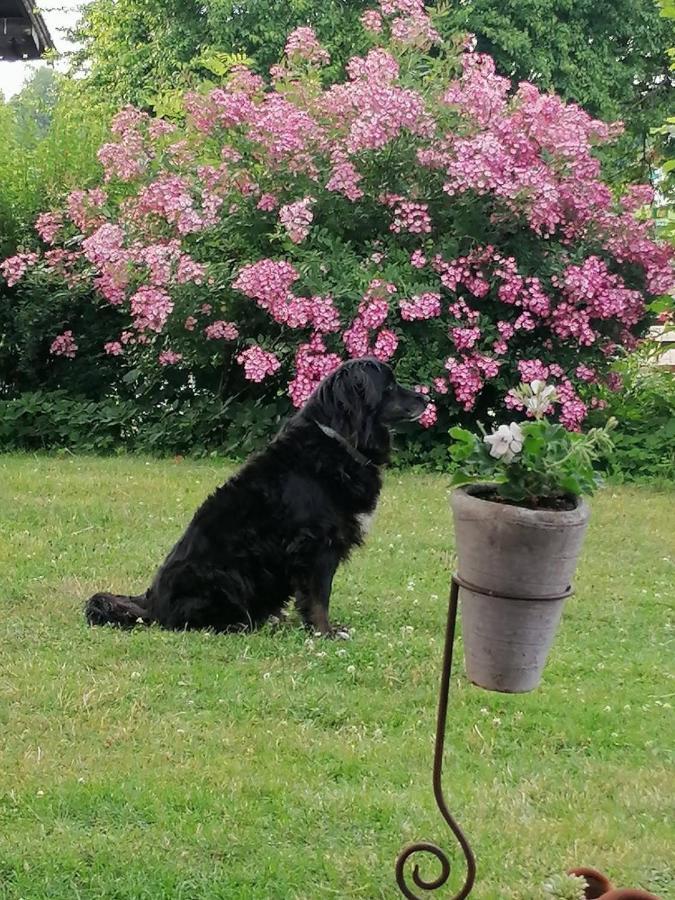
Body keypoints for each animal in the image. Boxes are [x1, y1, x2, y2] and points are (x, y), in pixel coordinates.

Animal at [84, 356, 426, 636]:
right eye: (390, 386)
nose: (425, 398)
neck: (339, 438)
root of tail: (150, 603)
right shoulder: (315, 545)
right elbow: (318, 596)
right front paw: (325, 631)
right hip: (226, 577)